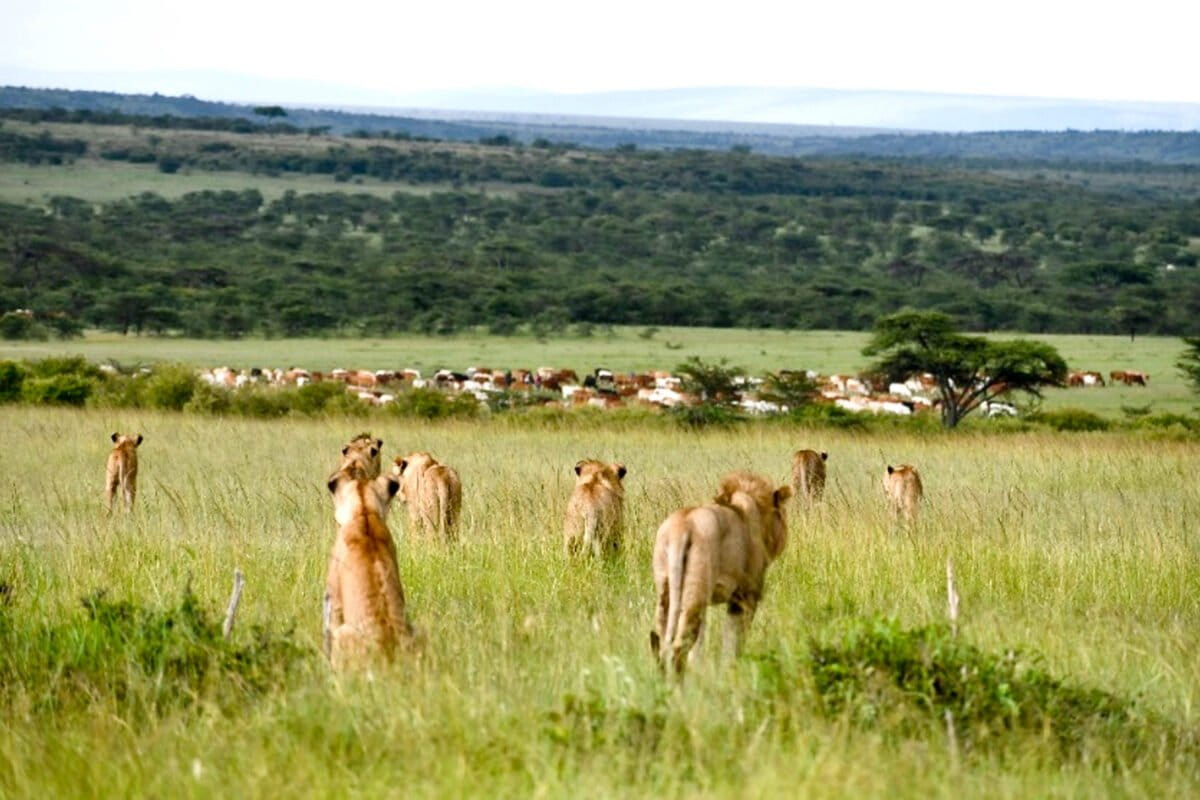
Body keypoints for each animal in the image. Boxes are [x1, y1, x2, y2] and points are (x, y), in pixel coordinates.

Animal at [650, 471, 792, 677]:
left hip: (666, 590)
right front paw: (731, 672)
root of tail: (681, 527)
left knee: (661, 643)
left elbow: (700, 648)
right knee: (678, 648)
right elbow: (734, 642)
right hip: (696, 594)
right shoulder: (745, 597)